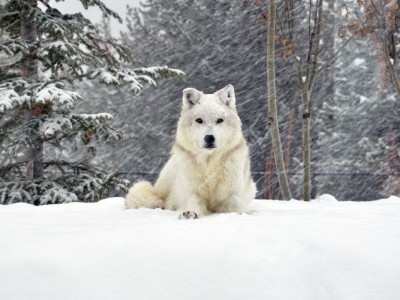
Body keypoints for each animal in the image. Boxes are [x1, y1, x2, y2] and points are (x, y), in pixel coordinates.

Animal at [125, 84, 256, 218]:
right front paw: (190, 213)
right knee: (163, 199)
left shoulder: (230, 195)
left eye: (220, 120)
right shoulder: (195, 194)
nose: (209, 138)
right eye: (199, 120)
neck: (210, 164)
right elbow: (193, 203)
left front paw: (248, 211)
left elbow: (239, 203)